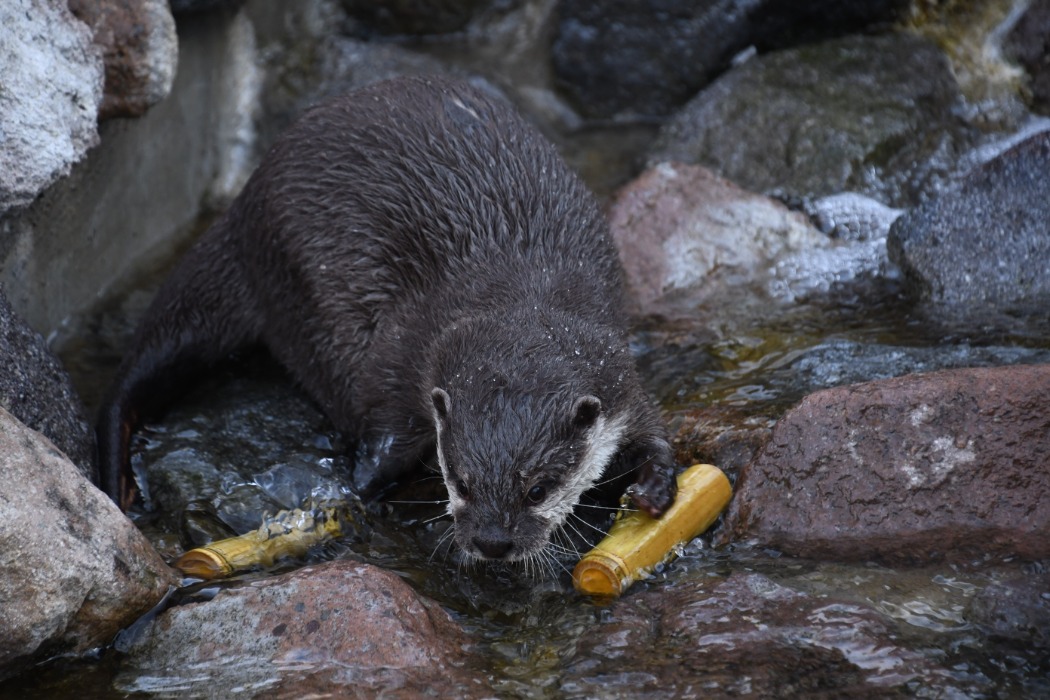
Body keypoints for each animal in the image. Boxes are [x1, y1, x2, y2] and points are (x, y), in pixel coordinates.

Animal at [94, 76, 676, 566]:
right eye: (461, 480)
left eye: (538, 488)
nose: (492, 542)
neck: (529, 293)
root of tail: (242, 213)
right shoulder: (407, 355)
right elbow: (386, 431)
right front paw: (355, 495)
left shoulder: (617, 373)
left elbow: (655, 434)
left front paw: (655, 486)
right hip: (303, 286)